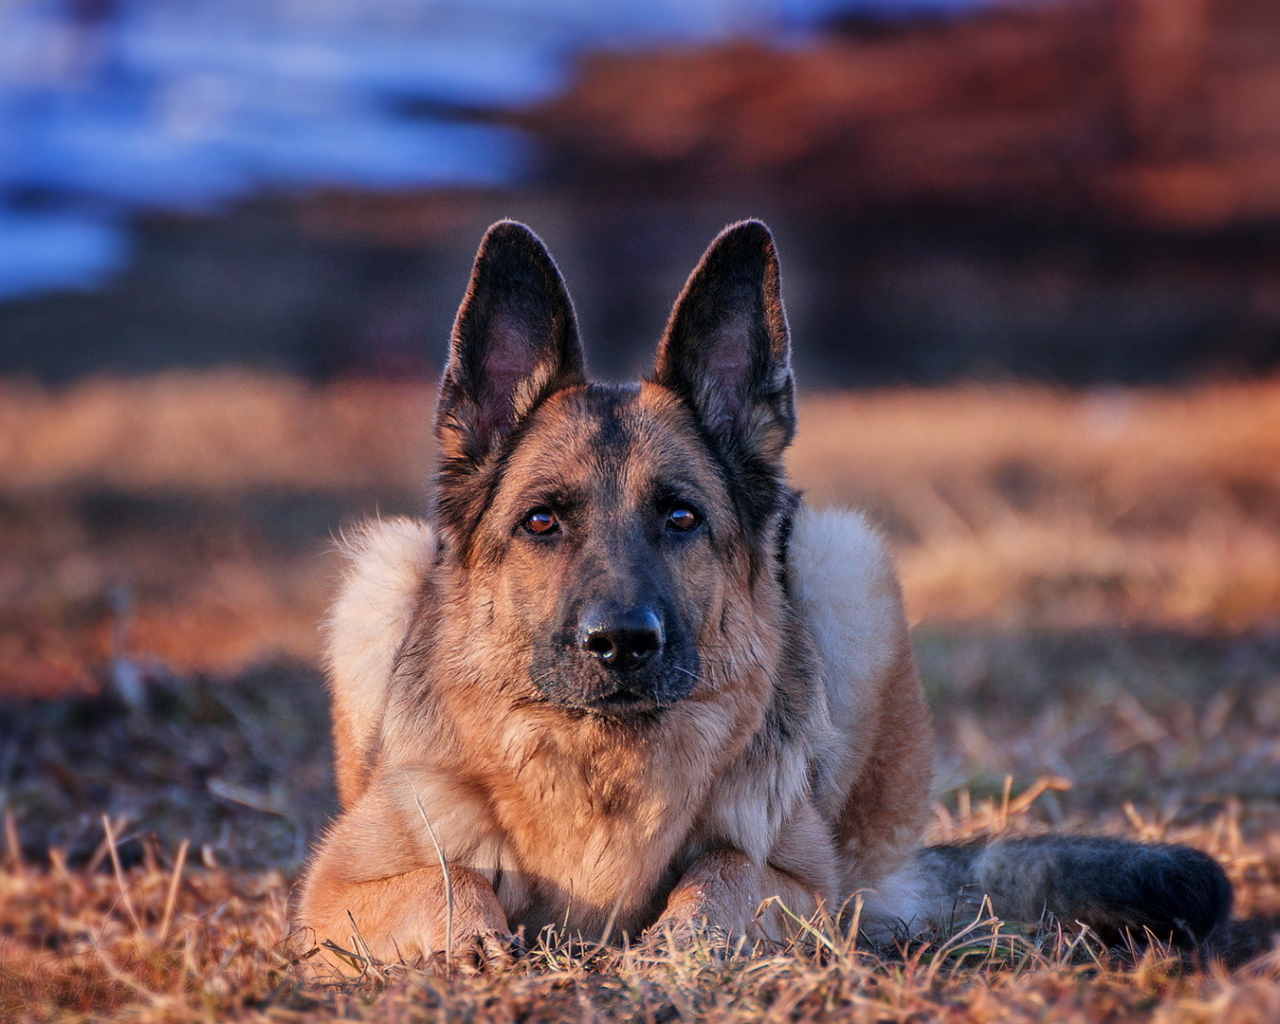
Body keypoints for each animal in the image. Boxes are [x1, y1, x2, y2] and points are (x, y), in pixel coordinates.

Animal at [294, 217, 1233, 967]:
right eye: (541, 521)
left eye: (681, 517)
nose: (622, 643)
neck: (603, 763)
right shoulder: (333, 890)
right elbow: (446, 883)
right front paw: (475, 943)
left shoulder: (798, 880)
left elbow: (726, 872)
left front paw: (681, 944)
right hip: (379, 569)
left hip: (847, 562)